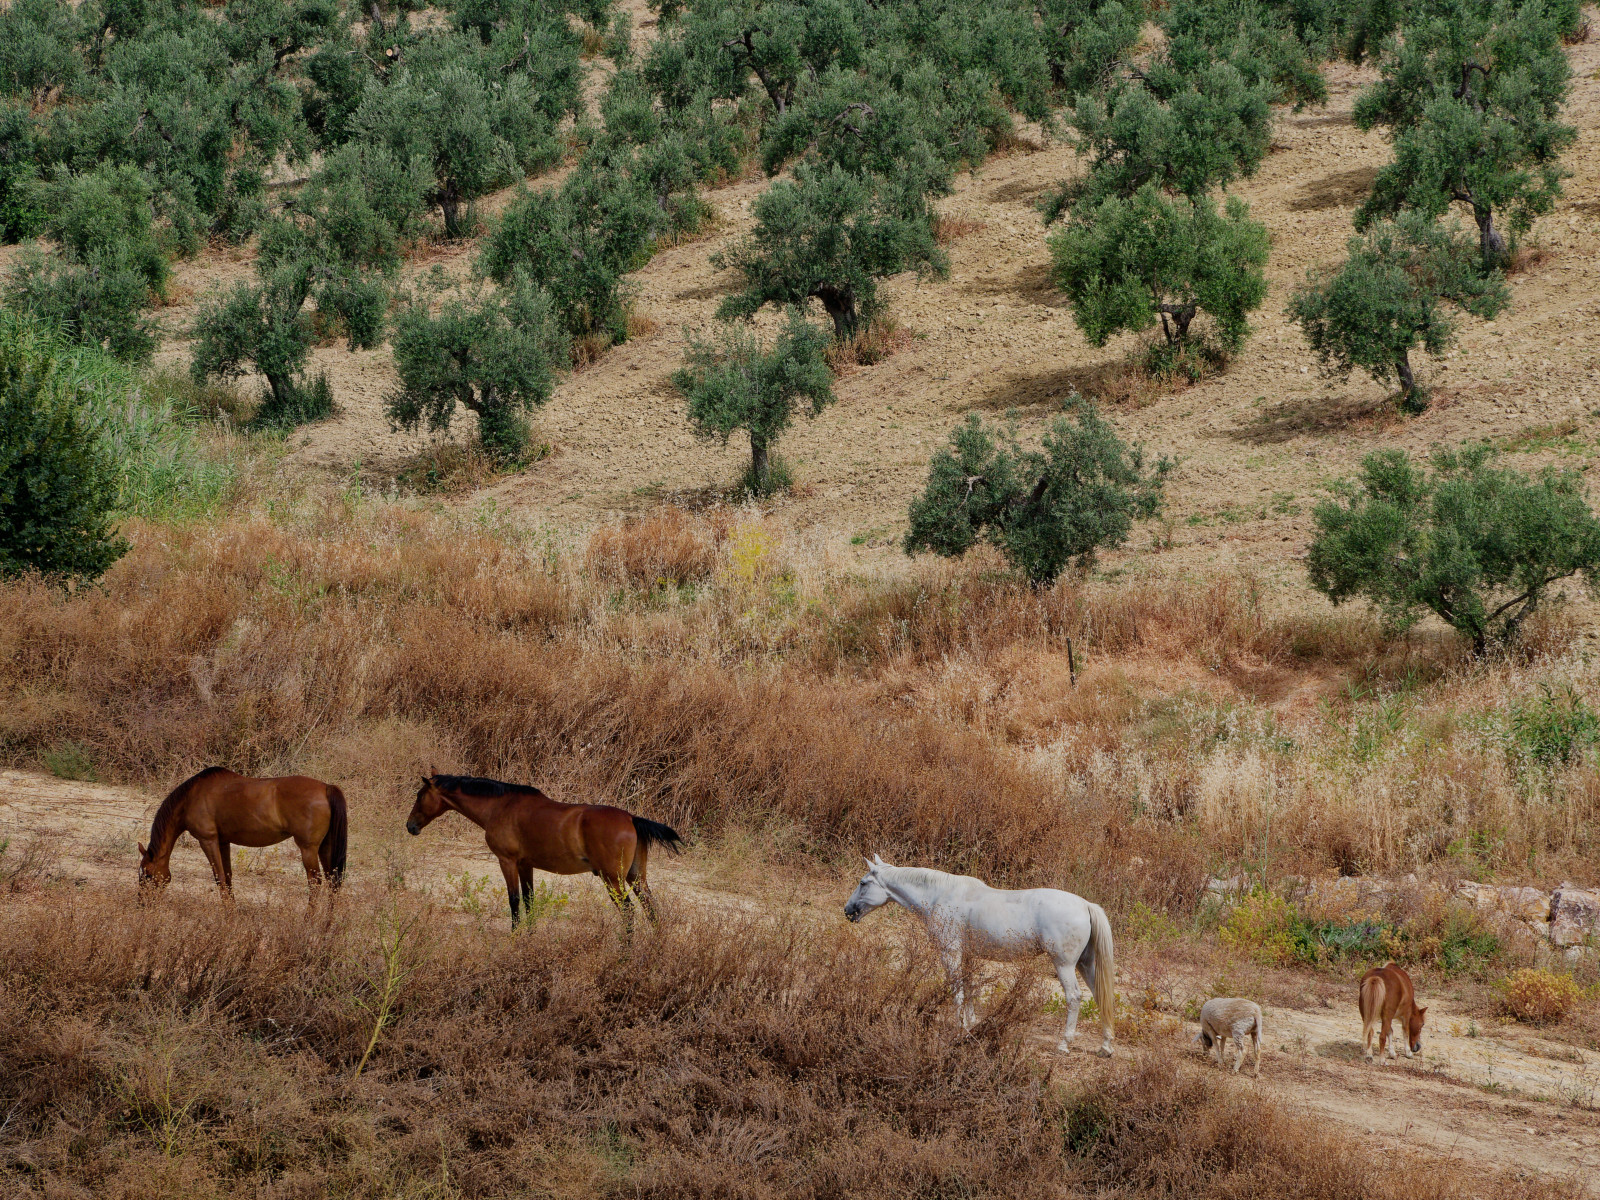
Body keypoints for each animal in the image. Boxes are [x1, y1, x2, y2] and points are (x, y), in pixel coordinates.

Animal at [138, 767, 348, 899]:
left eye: (147, 874)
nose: (142, 903)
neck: (191, 797)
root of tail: (326, 787)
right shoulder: (223, 842)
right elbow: (228, 878)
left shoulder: (208, 841)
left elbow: (220, 878)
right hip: (325, 848)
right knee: (333, 883)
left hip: (308, 849)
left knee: (315, 883)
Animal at [405, 774, 683, 929]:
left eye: (419, 795)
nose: (410, 826)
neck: (500, 806)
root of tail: (631, 819)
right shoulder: (525, 865)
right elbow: (529, 900)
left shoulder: (507, 861)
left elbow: (514, 900)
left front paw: (516, 935)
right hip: (636, 878)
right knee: (650, 908)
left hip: (612, 879)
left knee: (628, 912)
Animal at [843, 855, 1116, 1055]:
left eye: (863, 883)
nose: (847, 911)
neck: (939, 896)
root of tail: (1086, 905)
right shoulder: (968, 955)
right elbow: (970, 989)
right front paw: (971, 1026)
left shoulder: (951, 952)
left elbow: (957, 991)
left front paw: (960, 1029)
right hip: (1085, 965)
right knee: (1100, 995)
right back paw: (1105, 1047)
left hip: (1064, 965)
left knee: (1074, 998)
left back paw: (1064, 1044)